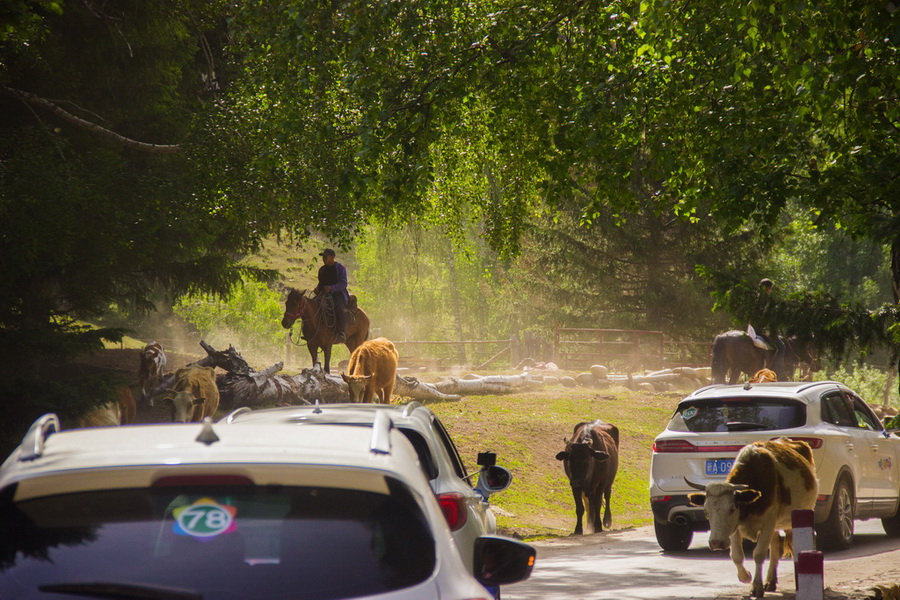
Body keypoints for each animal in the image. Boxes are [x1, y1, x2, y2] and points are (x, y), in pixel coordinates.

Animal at [684, 436, 820, 600]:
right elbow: (736, 556)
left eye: (732, 509)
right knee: (775, 547)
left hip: (799, 514)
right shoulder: (736, 528)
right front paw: (746, 576)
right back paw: (770, 581)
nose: (716, 542)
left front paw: (756, 587)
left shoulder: (768, 523)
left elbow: (759, 554)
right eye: (706, 511)